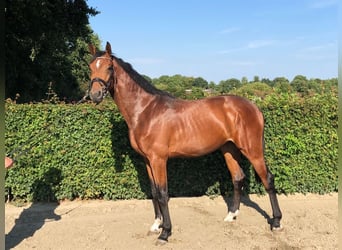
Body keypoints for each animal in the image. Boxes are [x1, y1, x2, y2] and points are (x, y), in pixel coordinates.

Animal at [87, 42, 284, 243]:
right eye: (90, 67)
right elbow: (154, 192)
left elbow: (163, 193)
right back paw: (231, 215)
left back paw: (276, 222)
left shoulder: (159, 160)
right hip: (229, 149)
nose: (95, 95)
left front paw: (165, 232)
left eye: (109, 67)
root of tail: (254, 107)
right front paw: (156, 225)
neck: (145, 111)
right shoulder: (148, 160)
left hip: (253, 150)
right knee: (238, 178)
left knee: (268, 179)